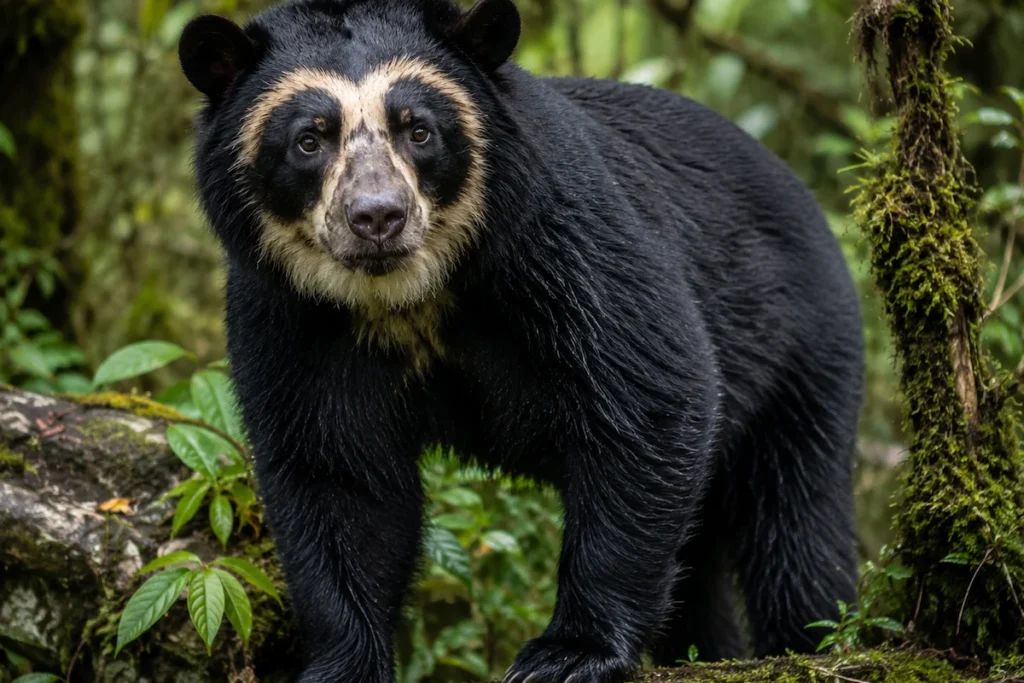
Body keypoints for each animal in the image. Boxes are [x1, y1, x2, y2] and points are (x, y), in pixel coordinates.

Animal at [177, 0, 864, 680]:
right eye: (309, 139)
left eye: (419, 130)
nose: (377, 216)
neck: (406, 296)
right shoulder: (291, 314)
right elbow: (334, 475)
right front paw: (344, 665)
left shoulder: (561, 239)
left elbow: (647, 397)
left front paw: (568, 653)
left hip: (800, 351)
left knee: (795, 527)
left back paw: (814, 642)